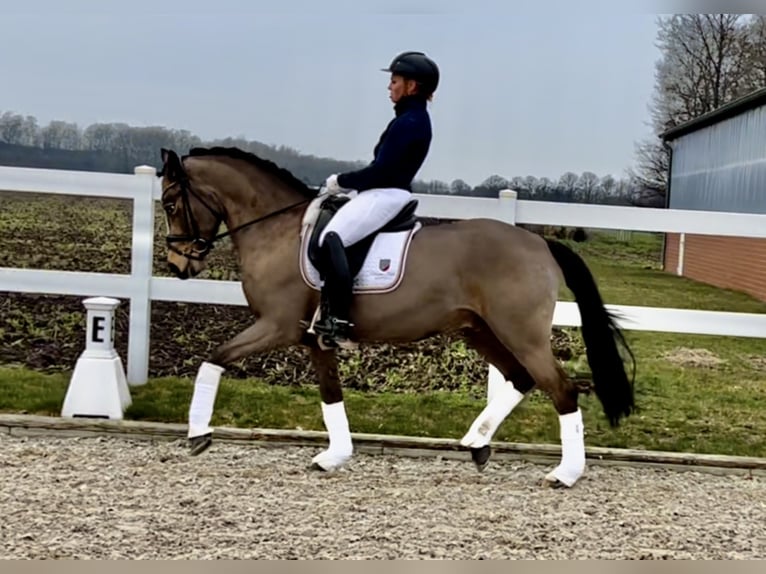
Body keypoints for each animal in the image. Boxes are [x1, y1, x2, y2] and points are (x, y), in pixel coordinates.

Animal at [159, 146, 640, 488]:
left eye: (169, 203)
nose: (177, 265)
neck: (278, 231)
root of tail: (539, 242)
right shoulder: (314, 339)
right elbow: (331, 395)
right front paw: (334, 457)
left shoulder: (277, 326)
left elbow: (214, 357)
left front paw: (198, 435)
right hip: (480, 331)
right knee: (520, 379)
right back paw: (477, 443)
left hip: (521, 333)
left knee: (561, 389)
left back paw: (564, 474)